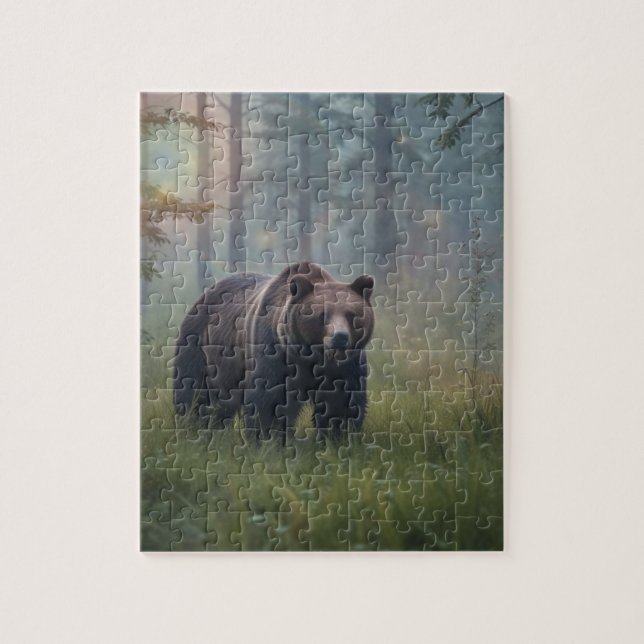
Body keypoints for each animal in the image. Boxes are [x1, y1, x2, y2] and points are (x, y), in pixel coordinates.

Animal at [173, 262, 375, 438]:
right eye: (322, 315)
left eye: (351, 315)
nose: (340, 337)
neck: (310, 356)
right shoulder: (273, 353)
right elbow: (268, 400)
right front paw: (267, 440)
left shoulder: (346, 367)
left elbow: (341, 403)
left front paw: (338, 437)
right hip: (199, 344)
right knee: (192, 389)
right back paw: (191, 425)